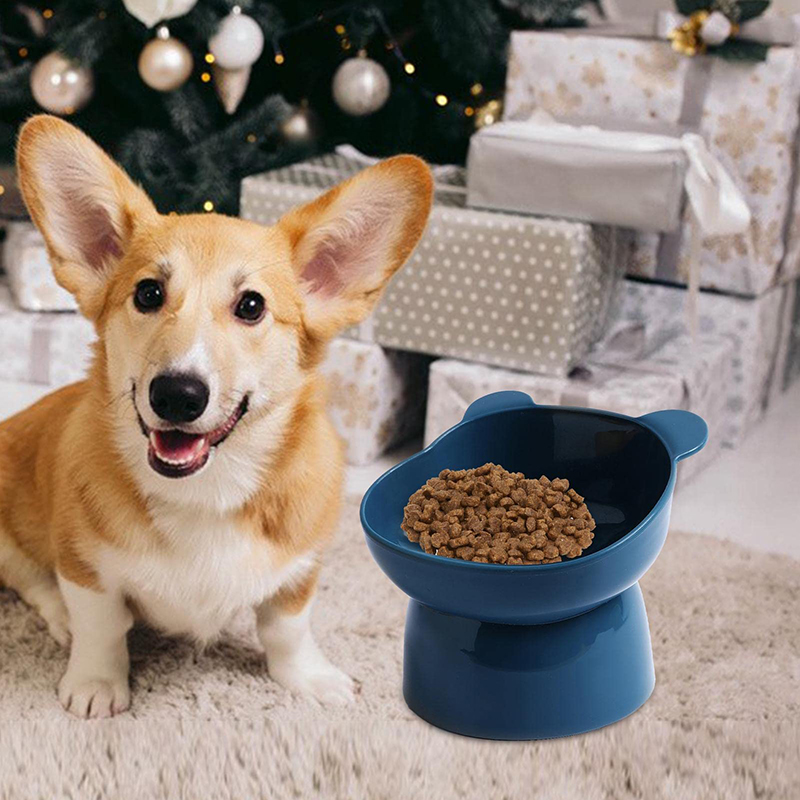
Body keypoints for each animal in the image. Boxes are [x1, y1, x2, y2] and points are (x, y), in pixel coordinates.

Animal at [0, 117, 434, 720]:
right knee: (34, 582)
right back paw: (60, 620)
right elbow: (101, 626)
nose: (177, 396)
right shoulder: (84, 566)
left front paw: (309, 679)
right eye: (148, 293)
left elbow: (287, 629)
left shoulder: (300, 568)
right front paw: (95, 685)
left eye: (251, 306)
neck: (205, 493)